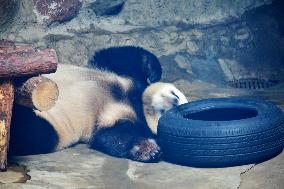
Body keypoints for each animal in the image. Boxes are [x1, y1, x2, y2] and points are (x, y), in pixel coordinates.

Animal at [8, 45, 187, 162]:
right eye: (176, 94)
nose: (174, 102)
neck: (137, 103)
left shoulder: (116, 118)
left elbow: (112, 136)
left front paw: (148, 149)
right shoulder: (124, 76)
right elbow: (117, 55)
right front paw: (153, 71)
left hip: (52, 127)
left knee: (35, 132)